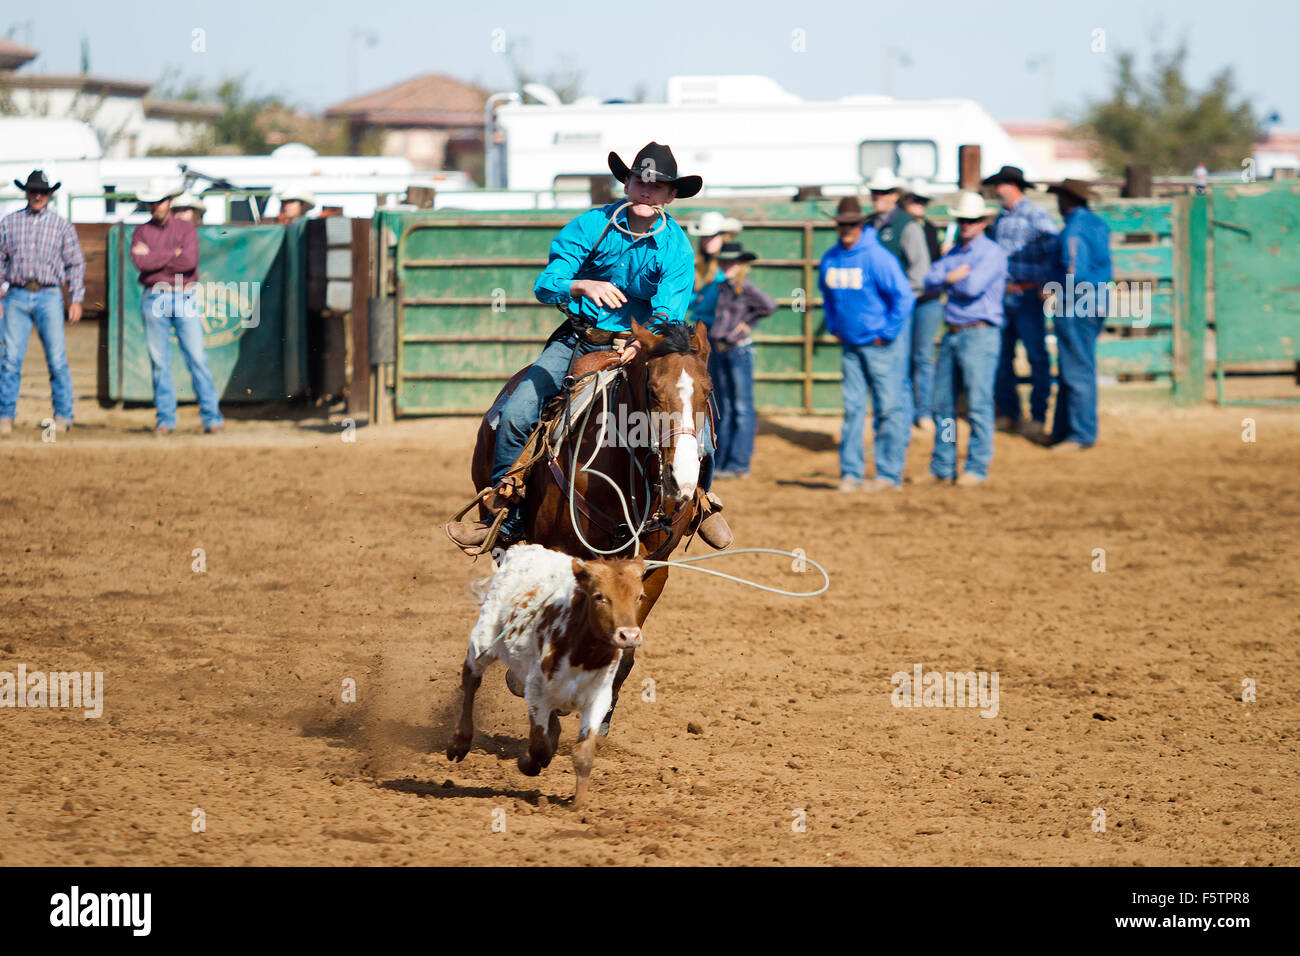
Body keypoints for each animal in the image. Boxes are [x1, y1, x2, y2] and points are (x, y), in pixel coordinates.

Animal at [465, 319, 712, 733]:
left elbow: (623, 648)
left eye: (707, 391)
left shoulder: (653, 571)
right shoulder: (562, 555)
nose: (683, 480)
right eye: (653, 391)